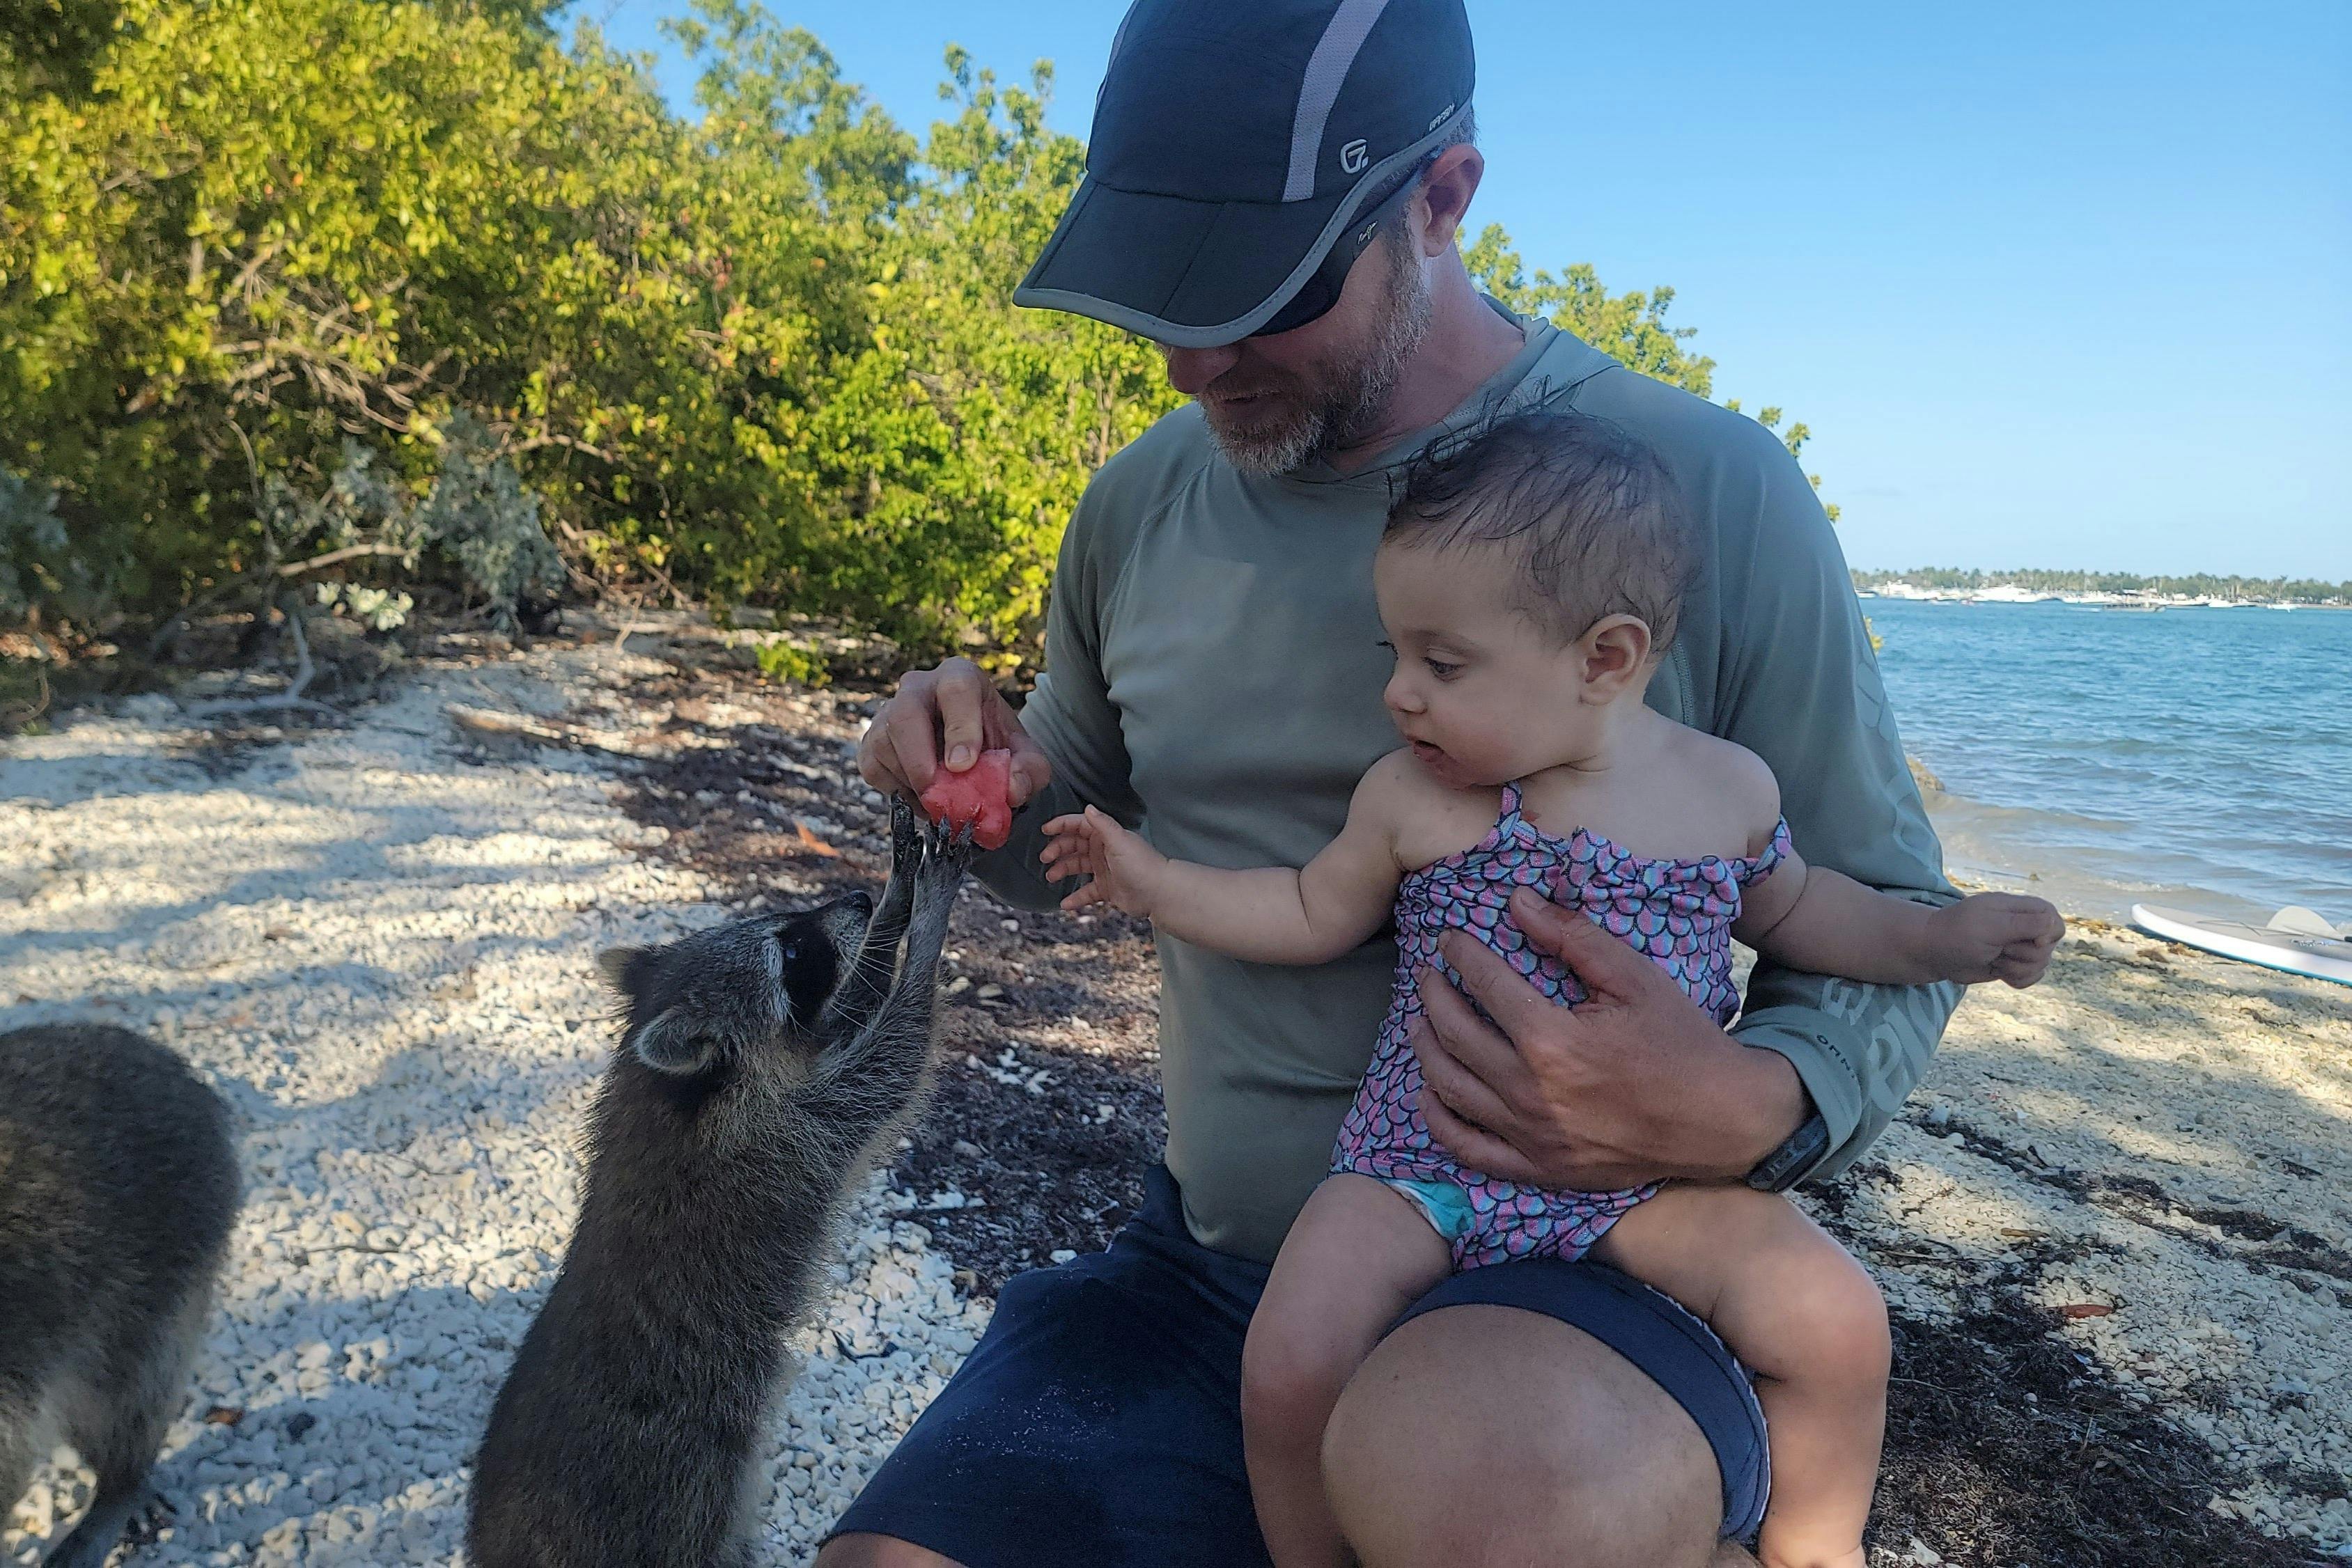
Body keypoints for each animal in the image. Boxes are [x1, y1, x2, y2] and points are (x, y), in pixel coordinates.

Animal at [467, 801, 972, 1568]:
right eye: (789, 952)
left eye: (789, 928)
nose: (855, 900)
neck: (669, 1092)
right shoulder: (781, 1135)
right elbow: (893, 1053)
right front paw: (927, 929)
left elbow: (846, 1015)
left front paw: (895, 901)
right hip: (668, 1500)